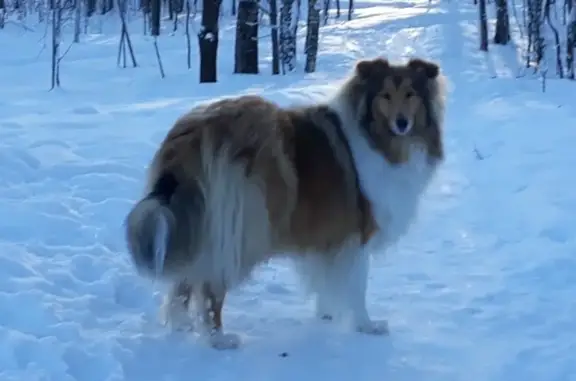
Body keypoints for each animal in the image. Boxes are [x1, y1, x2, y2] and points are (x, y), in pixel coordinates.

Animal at [126, 55, 448, 348]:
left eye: (411, 94)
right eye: (385, 95)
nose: (402, 123)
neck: (377, 139)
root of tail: (190, 134)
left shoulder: (328, 236)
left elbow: (325, 280)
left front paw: (326, 315)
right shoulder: (357, 236)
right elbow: (357, 286)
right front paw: (366, 326)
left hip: (200, 222)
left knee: (186, 278)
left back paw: (181, 326)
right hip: (241, 226)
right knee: (210, 285)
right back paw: (218, 338)